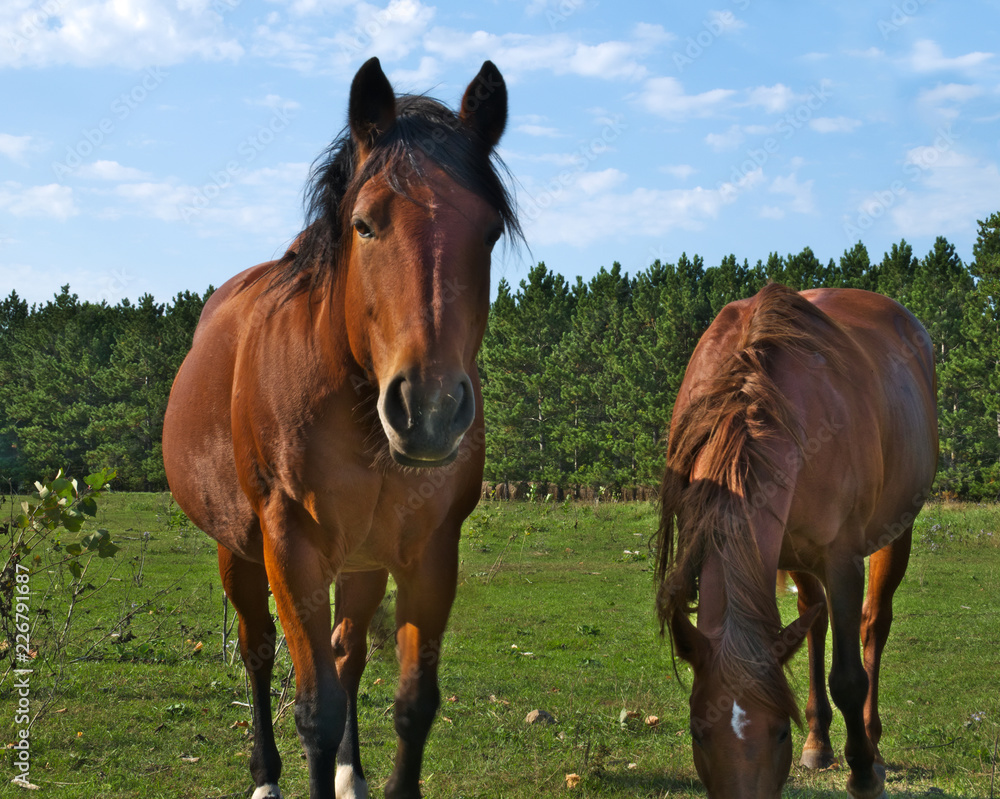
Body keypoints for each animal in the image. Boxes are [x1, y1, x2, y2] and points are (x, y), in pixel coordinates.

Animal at [160, 57, 520, 799]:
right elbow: (314, 709)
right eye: (365, 223)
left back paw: (352, 772)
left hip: (362, 561)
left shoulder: (430, 552)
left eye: (488, 231)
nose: (428, 407)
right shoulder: (290, 547)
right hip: (239, 551)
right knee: (259, 652)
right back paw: (265, 776)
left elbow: (413, 702)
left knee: (347, 654)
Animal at [656, 286, 936, 799]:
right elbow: (812, 630)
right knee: (814, 620)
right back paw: (820, 743)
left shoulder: (843, 560)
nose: (800, 736)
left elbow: (848, 678)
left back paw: (873, 746)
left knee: (874, 624)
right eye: (697, 734)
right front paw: (820, 743)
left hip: (895, 533)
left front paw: (862, 774)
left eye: (780, 732)